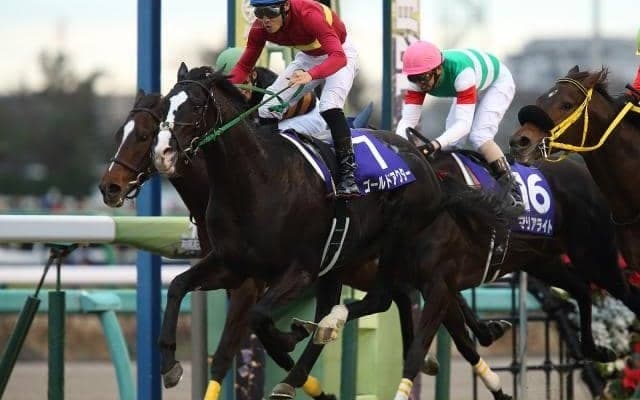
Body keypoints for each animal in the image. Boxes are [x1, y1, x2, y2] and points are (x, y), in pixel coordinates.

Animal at [99, 90, 520, 399]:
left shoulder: (268, 278)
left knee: (427, 305)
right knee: (407, 301)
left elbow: (237, 342)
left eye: (143, 135)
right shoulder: (231, 267)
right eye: (122, 132)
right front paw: (171, 364)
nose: (110, 187)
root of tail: (431, 169)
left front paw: (295, 352)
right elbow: (180, 287)